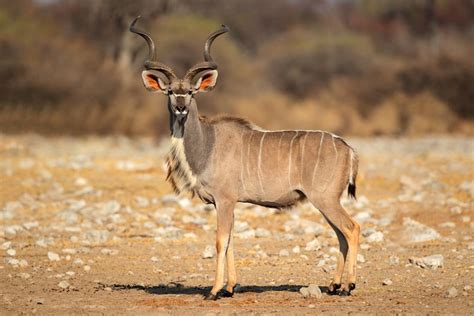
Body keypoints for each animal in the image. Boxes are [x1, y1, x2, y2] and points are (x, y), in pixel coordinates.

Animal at [129, 16, 360, 298]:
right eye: (171, 91)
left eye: (192, 92)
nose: (181, 108)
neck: (208, 143)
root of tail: (347, 149)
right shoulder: (223, 203)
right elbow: (230, 241)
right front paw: (229, 288)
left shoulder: (225, 200)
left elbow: (220, 241)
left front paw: (215, 290)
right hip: (326, 202)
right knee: (341, 234)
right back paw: (334, 285)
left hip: (325, 199)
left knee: (352, 229)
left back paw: (348, 286)